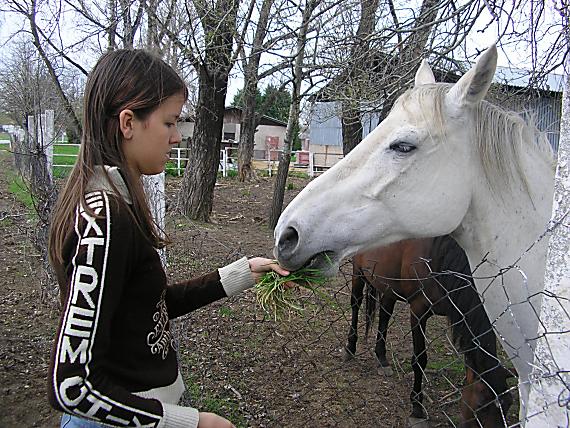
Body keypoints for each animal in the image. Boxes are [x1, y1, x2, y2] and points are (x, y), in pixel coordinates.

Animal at [342, 236, 516, 426]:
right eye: (480, 406)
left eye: (509, 404)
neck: (439, 259)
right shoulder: (418, 311)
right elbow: (420, 360)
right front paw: (417, 407)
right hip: (358, 272)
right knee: (356, 303)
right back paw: (350, 347)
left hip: (388, 286)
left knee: (385, 315)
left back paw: (382, 358)